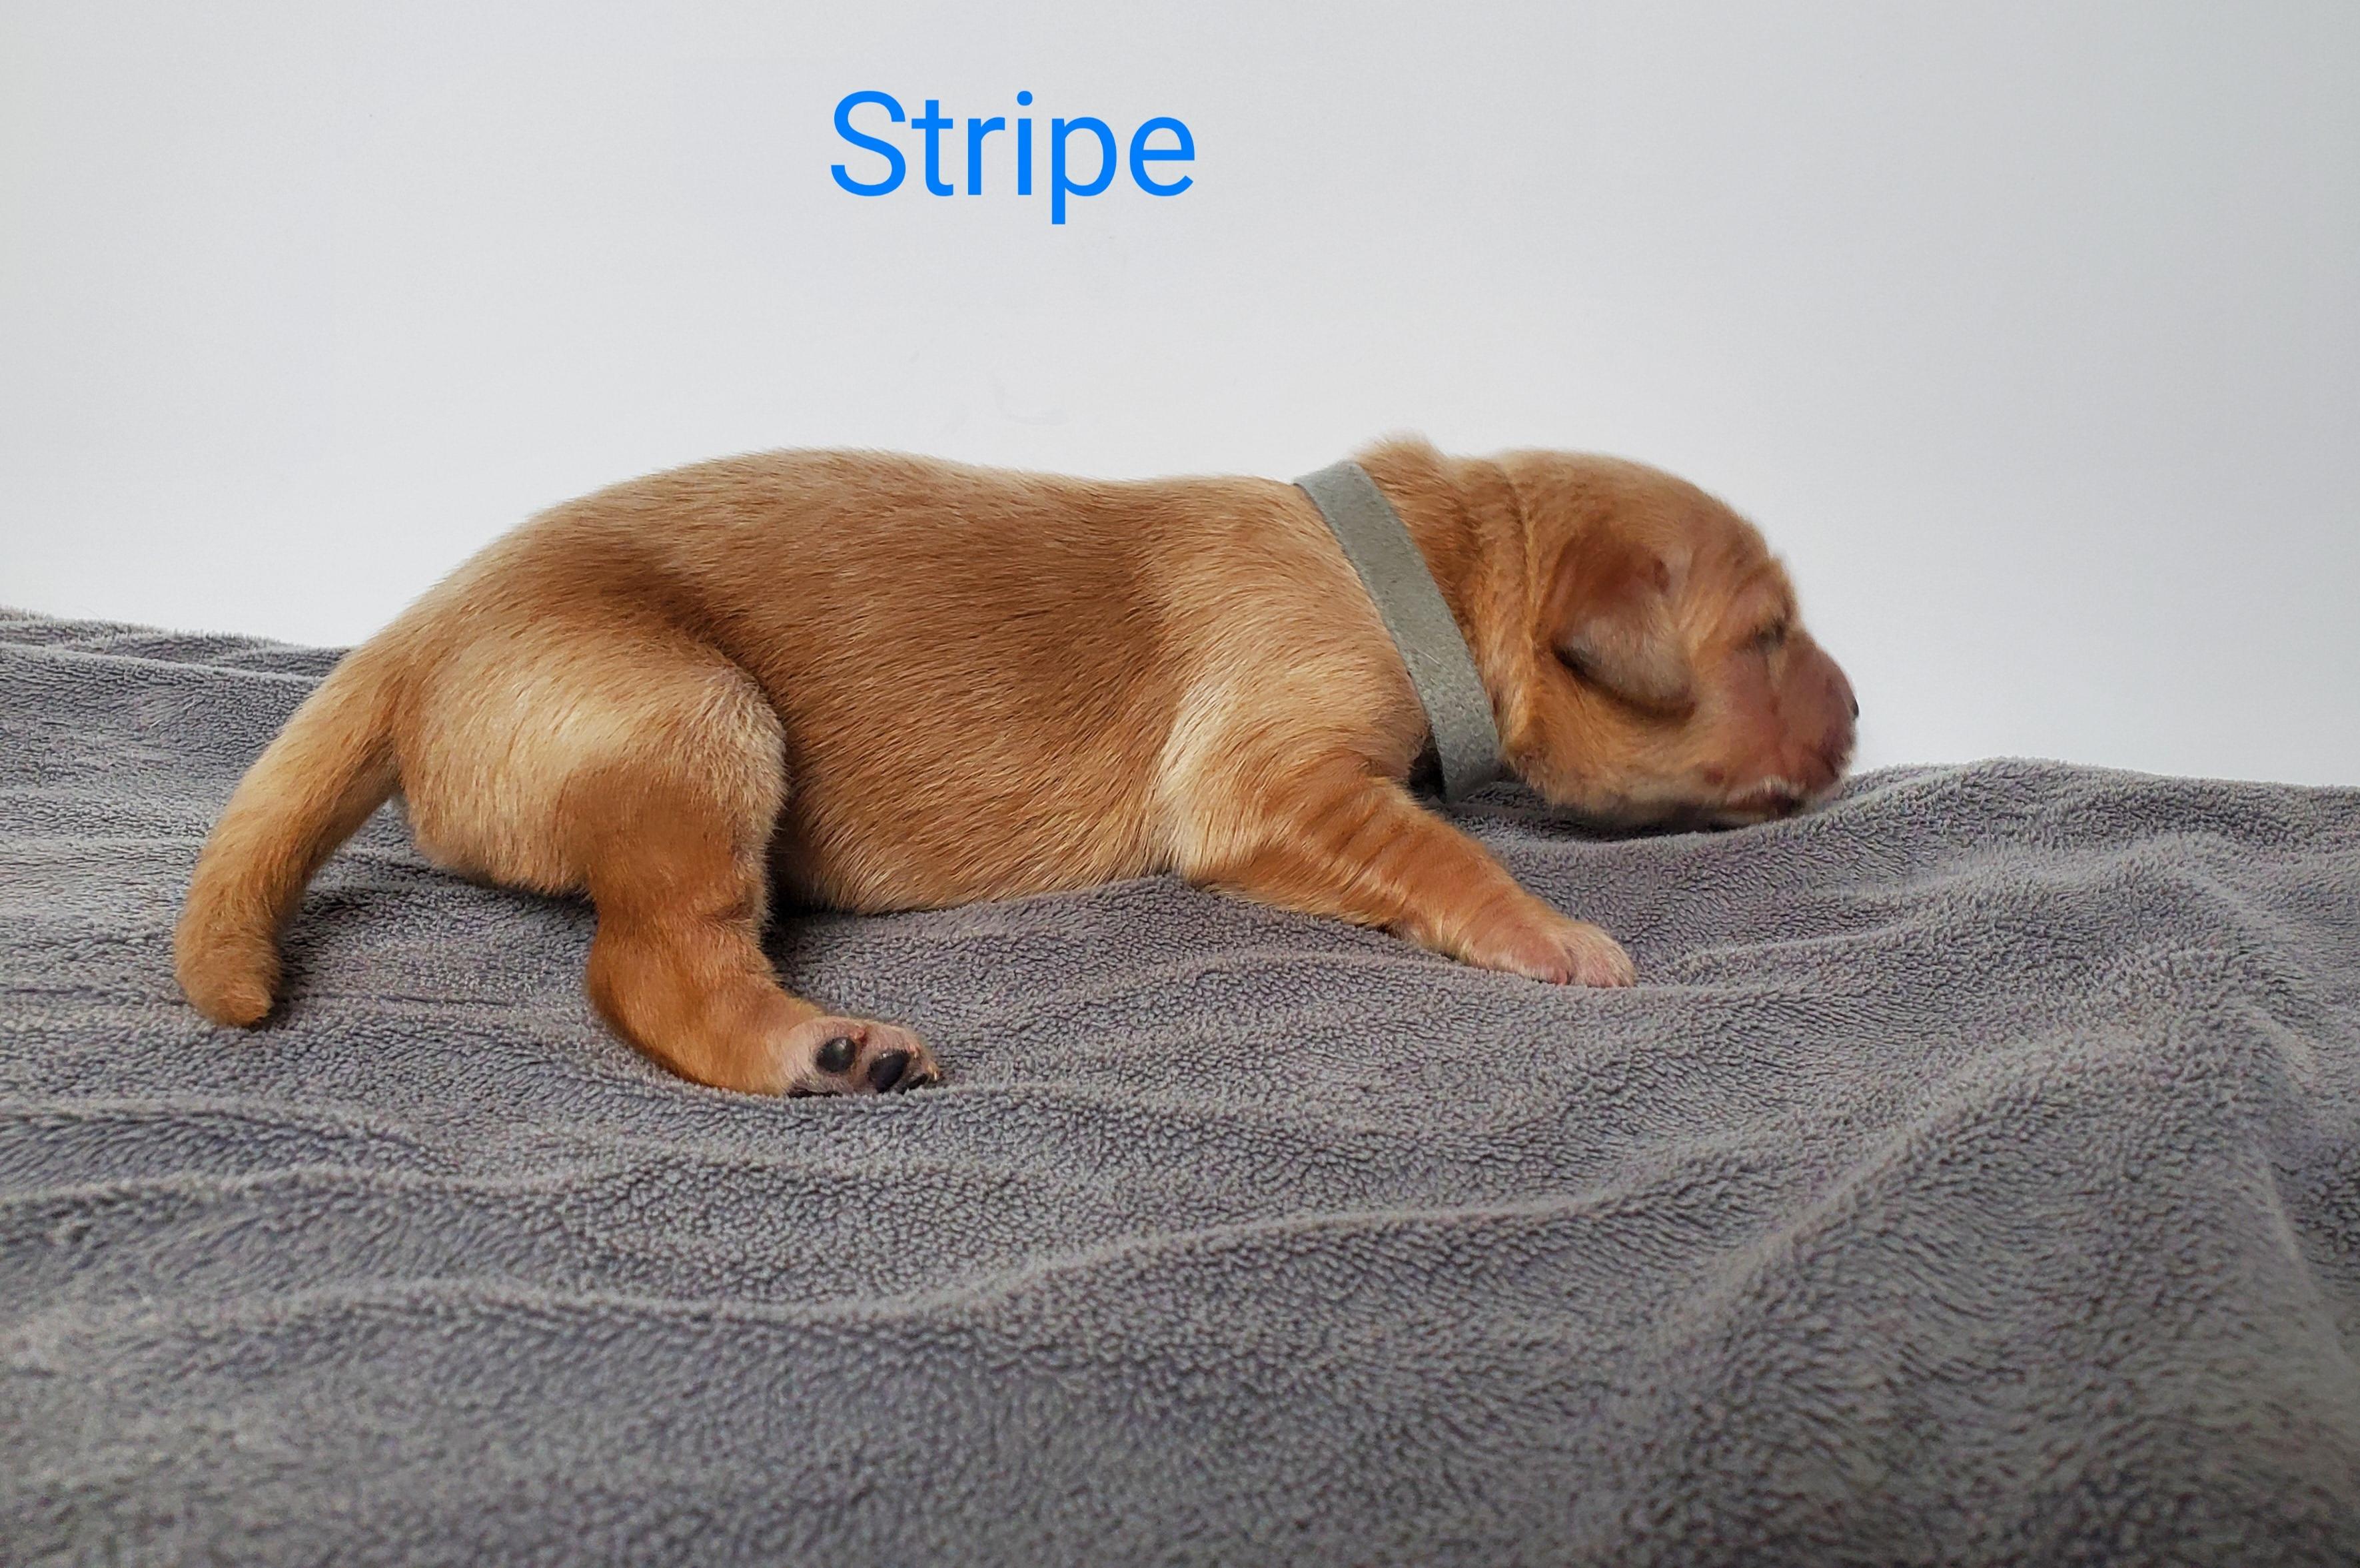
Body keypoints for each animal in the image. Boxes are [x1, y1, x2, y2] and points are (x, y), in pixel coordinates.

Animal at [175, 439, 1857, 1095]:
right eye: (1770, 634)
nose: (1859, 725)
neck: (1431, 561)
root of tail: (409, 638)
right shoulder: (1270, 775)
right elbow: (1442, 848)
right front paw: (1553, 932)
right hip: (689, 713)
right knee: (649, 964)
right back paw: (818, 1048)